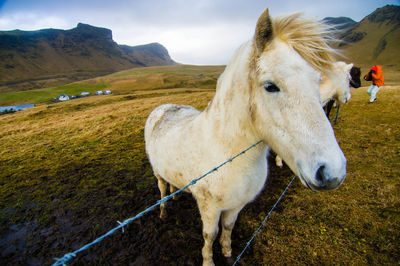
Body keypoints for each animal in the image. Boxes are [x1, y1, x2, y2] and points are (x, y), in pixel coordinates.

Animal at [145, 8, 346, 266]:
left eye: (316, 81)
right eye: (270, 86)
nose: (332, 172)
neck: (227, 153)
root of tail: (163, 108)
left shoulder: (236, 205)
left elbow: (228, 228)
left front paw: (228, 251)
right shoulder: (209, 207)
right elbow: (209, 234)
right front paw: (208, 260)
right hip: (157, 172)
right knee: (162, 190)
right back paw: (163, 211)